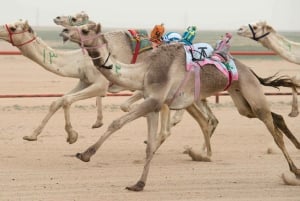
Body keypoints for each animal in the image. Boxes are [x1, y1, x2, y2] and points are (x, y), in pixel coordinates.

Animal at [62, 23, 300, 190]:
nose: (64, 31)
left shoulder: (154, 101)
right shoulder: (153, 104)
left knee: (274, 133)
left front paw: (85, 153)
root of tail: (248, 69)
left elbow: (117, 123)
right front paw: (138, 184)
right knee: (274, 117)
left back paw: (295, 171)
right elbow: (150, 144)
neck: (144, 70)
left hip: (251, 93)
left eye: (84, 29)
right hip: (242, 101)